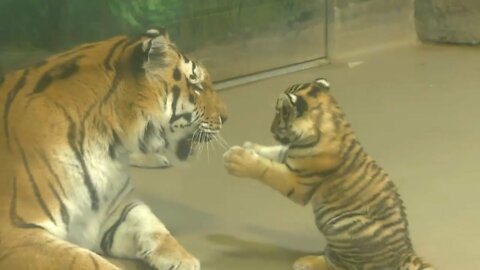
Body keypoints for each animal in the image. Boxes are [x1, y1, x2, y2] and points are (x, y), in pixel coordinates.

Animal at [0, 28, 228, 268]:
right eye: (197, 87)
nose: (226, 117)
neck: (113, 145)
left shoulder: (114, 210)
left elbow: (150, 222)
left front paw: (184, 259)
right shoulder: (15, 232)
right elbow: (87, 261)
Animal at [223, 78, 434, 270]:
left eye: (278, 114)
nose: (270, 129)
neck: (329, 118)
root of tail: (407, 254)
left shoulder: (297, 181)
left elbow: (267, 170)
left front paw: (236, 160)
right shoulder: (290, 154)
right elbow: (275, 151)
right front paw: (250, 147)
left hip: (341, 227)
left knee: (340, 265)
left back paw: (305, 262)